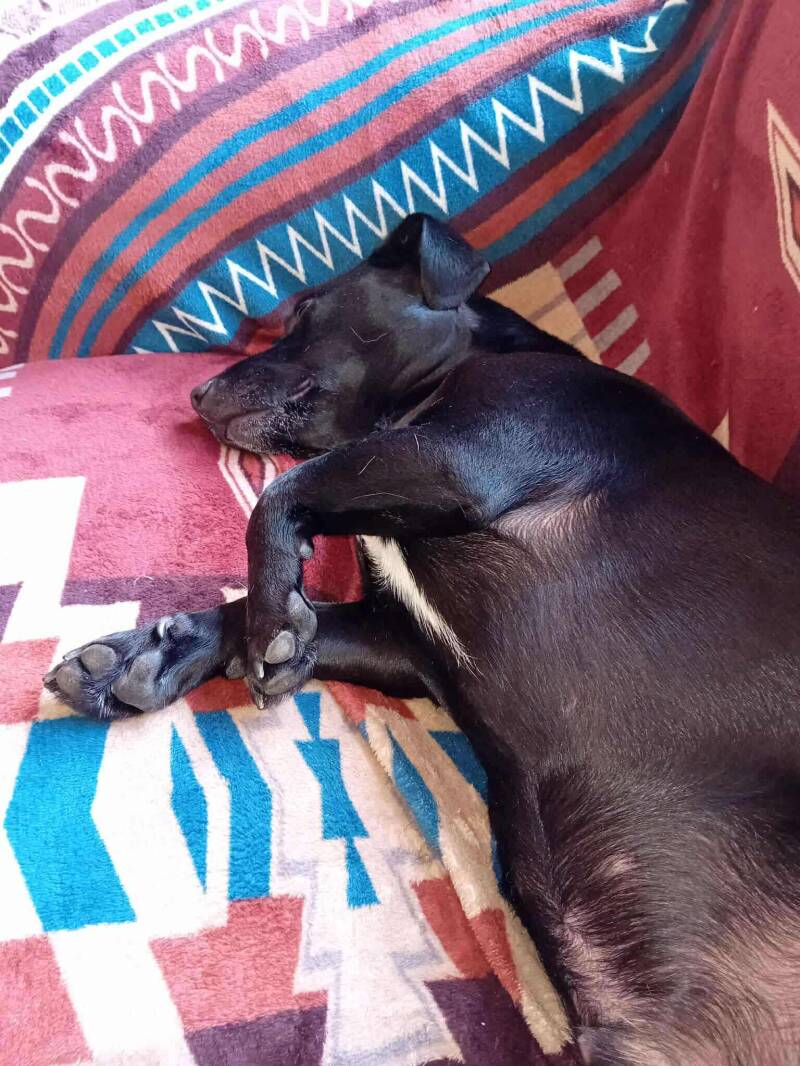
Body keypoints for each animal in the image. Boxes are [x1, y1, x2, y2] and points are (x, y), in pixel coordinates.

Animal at [46, 214, 800, 1065]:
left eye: (305, 311)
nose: (197, 393)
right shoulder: (405, 642)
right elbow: (274, 606)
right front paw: (151, 654)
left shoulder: (462, 458)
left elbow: (279, 496)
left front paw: (270, 615)